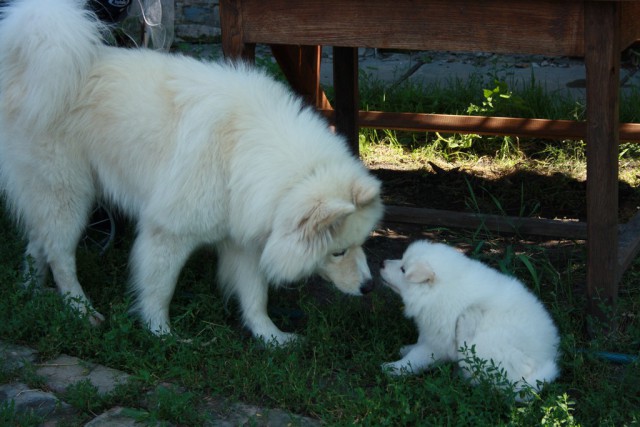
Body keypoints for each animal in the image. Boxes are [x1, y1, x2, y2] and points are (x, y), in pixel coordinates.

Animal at [0, 0, 382, 346]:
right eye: (337, 252)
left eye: (361, 244)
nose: (369, 286)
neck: (244, 148)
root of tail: (24, 59)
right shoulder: (167, 233)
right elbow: (159, 291)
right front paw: (162, 335)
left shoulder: (243, 238)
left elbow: (255, 297)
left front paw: (272, 337)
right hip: (68, 195)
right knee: (60, 255)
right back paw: (81, 310)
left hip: (50, 195)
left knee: (38, 243)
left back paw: (31, 292)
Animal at [380, 241, 560, 398]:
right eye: (401, 260)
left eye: (403, 269)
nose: (382, 263)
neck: (436, 292)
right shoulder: (432, 331)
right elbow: (419, 342)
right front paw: (406, 348)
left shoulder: (437, 343)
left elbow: (416, 358)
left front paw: (393, 368)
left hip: (484, 346)